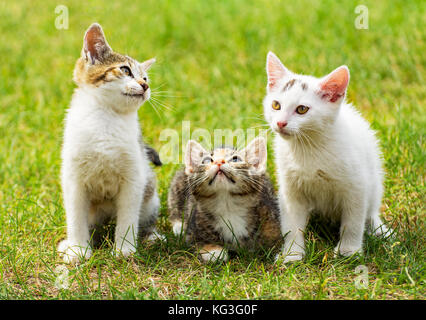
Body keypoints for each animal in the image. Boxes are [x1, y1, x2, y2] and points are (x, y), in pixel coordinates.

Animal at [58, 21, 160, 262]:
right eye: (125, 70)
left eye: (145, 78)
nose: (145, 86)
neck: (106, 118)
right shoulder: (73, 179)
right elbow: (75, 216)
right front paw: (77, 249)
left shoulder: (134, 177)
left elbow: (128, 216)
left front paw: (124, 249)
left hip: (149, 190)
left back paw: (151, 236)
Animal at [264, 52, 392, 262]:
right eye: (276, 105)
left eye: (302, 109)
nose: (280, 123)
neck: (308, 147)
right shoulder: (290, 190)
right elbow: (291, 224)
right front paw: (292, 253)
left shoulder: (357, 186)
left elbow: (353, 222)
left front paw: (349, 251)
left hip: (374, 182)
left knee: (370, 211)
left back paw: (379, 229)